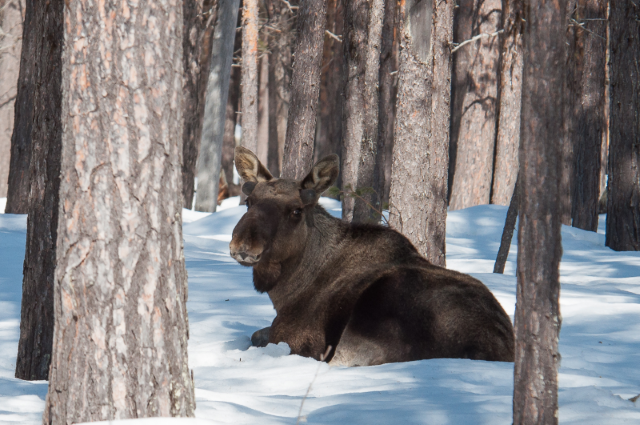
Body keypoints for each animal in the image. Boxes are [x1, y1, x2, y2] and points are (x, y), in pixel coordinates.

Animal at [229, 147, 515, 366]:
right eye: (249, 202)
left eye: (296, 211)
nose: (243, 244)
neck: (286, 289)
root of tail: (493, 350)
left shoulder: (295, 336)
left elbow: (257, 337)